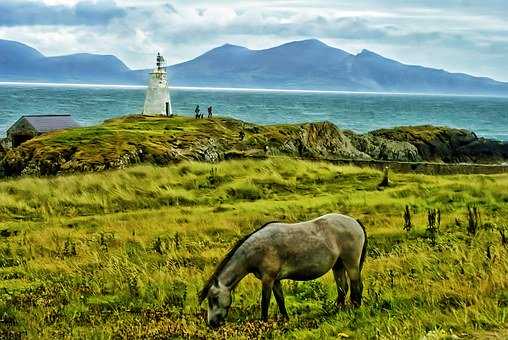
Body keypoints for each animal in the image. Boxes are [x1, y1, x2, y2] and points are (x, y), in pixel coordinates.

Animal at [196, 214, 368, 328]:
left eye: (213, 299)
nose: (211, 324)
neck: (257, 249)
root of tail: (355, 222)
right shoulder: (276, 280)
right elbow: (280, 299)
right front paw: (285, 320)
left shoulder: (268, 279)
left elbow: (265, 302)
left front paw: (263, 324)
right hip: (338, 266)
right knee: (342, 288)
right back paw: (336, 311)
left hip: (351, 264)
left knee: (356, 286)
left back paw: (355, 309)